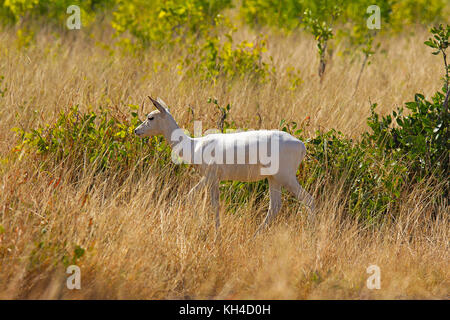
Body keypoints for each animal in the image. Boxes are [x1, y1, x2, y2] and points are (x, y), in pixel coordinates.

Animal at [135, 96, 314, 234]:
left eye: (150, 117)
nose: (137, 131)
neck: (194, 145)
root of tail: (302, 145)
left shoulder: (209, 176)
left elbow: (191, 195)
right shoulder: (214, 181)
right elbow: (215, 204)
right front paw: (216, 232)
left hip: (286, 178)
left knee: (309, 200)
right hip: (273, 179)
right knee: (275, 207)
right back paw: (255, 235)